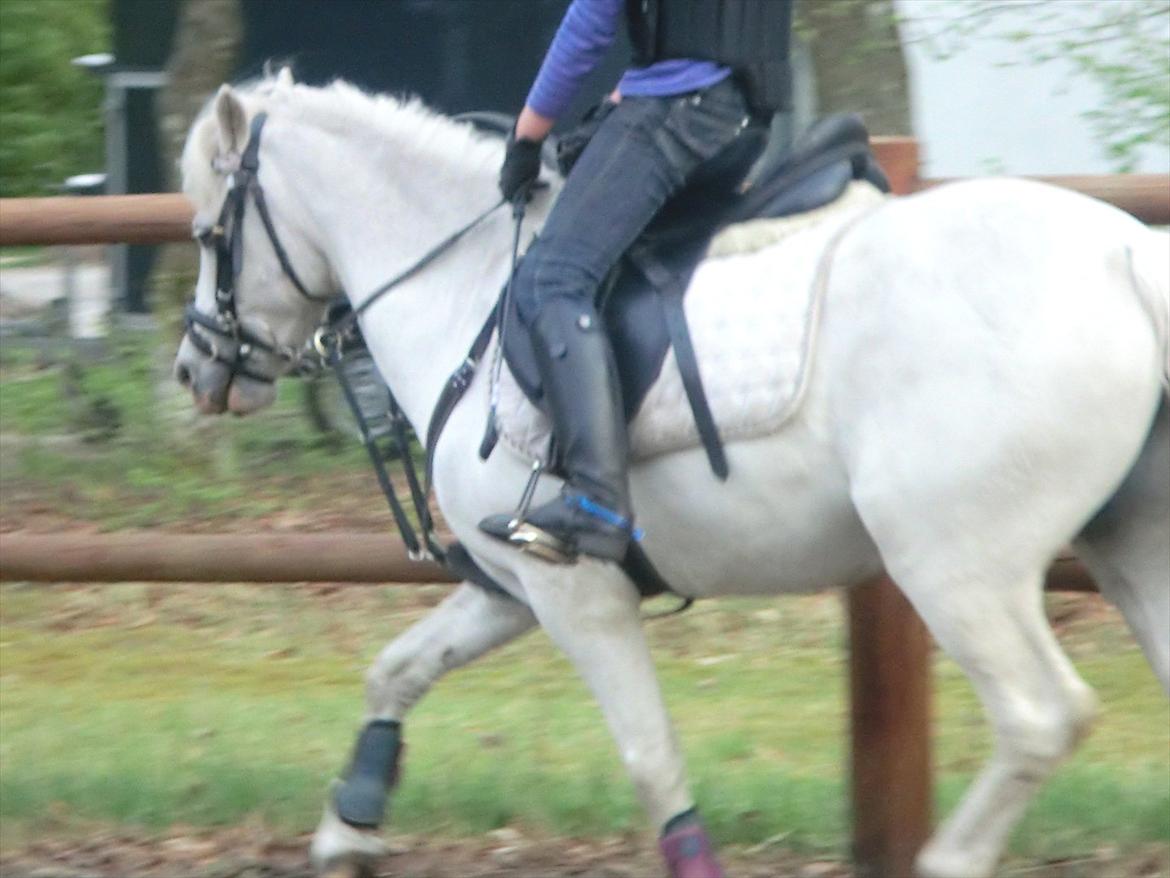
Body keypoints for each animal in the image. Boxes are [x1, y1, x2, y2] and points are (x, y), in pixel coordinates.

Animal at [173, 71, 1169, 878]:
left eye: (210, 233)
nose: (195, 371)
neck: (464, 289)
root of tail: (1126, 255)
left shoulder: (573, 591)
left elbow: (651, 761)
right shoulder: (511, 584)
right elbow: (397, 669)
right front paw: (350, 824)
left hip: (955, 566)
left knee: (1038, 718)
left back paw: (950, 856)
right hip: (1129, 547)